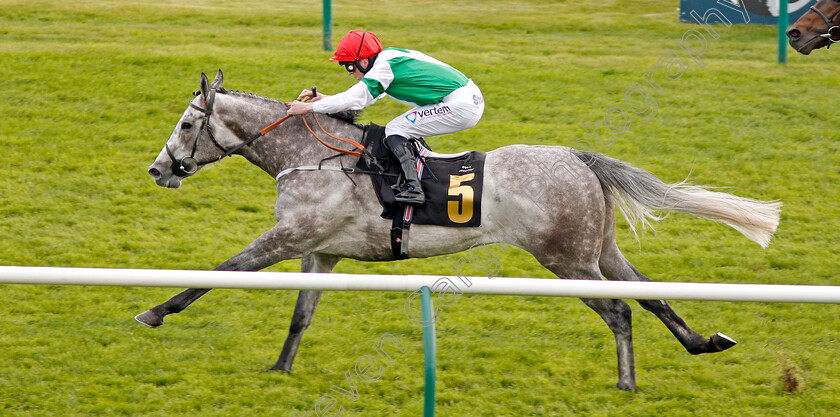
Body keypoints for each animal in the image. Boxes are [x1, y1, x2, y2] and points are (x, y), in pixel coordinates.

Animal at [139, 70, 780, 390]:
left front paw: (153, 311)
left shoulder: (289, 238)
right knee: (648, 294)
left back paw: (626, 383)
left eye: (188, 123)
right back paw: (703, 342)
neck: (312, 156)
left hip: (567, 259)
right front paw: (280, 370)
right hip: (598, 250)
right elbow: (301, 314)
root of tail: (578, 158)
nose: (158, 169)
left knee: (620, 310)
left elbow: (220, 272)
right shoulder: (320, 252)